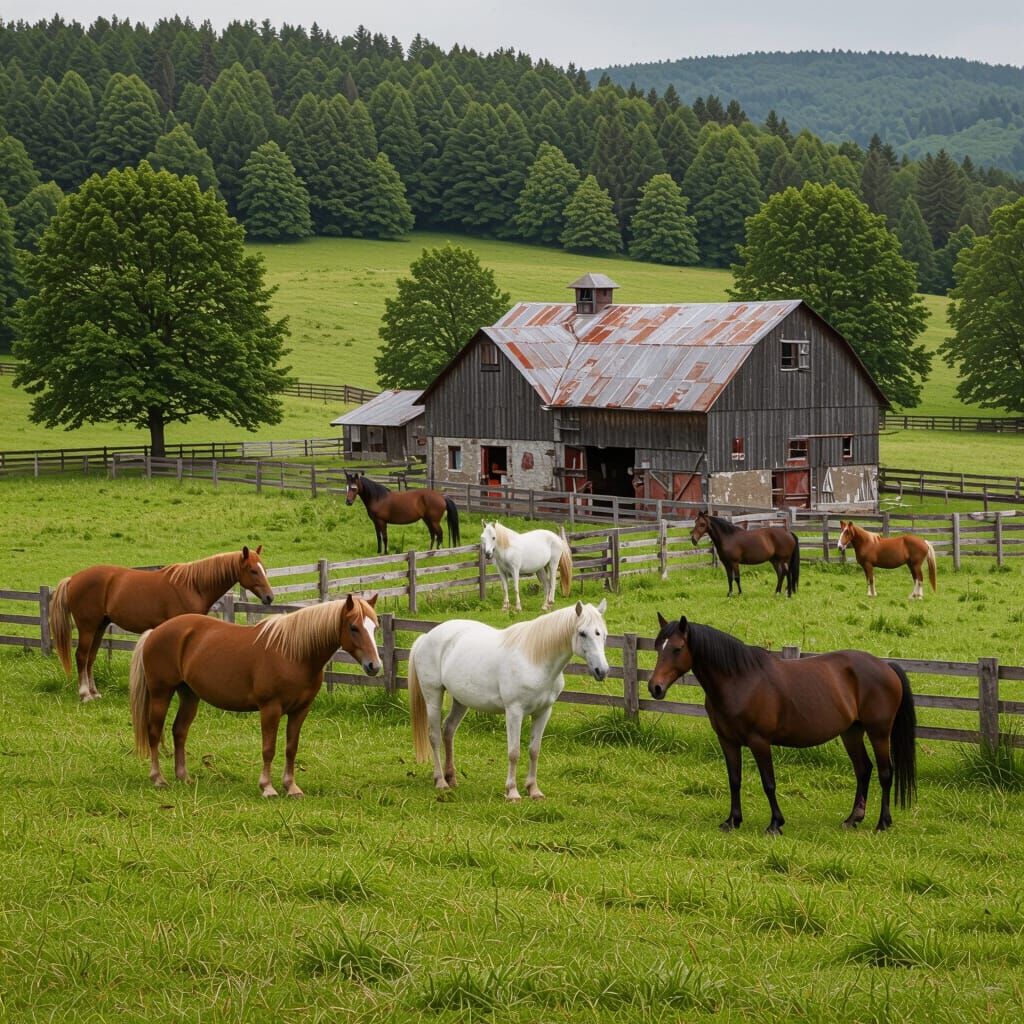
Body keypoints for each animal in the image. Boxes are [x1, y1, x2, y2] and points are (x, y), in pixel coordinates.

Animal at [50, 546, 274, 702]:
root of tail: (73, 579)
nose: (269, 597)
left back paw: (95, 693)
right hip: (88, 627)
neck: (193, 586)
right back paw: (85, 694)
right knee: (81, 656)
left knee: (90, 657)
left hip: (100, 626)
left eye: (264, 569)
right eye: (253, 570)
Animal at [129, 594, 381, 796]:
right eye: (354, 627)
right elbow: (268, 748)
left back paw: (184, 777)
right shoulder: (270, 709)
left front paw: (291, 787)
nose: (374, 666)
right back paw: (158, 779)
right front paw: (267, 788)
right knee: (154, 732)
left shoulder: (301, 710)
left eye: (375, 627)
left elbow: (291, 748)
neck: (294, 654)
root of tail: (155, 632)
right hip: (161, 693)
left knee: (179, 731)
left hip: (189, 695)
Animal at [407, 600, 609, 801]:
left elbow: (534, 750)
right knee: (434, 736)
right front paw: (512, 792)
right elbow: (514, 752)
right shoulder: (514, 712)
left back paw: (452, 778)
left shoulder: (543, 712)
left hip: (460, 700)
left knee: (448, 730)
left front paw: (534, 790)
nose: (602, 671)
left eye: (604, 634)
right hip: (433, 696)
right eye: (582, 633)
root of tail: (425, 637)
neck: (534, 660)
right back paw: (440, 781)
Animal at [649, 613, 916, 834]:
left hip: (879, 732)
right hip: (851, 732)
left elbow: (769, 782)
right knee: (863, 769)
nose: (655, 687)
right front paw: (732, 821)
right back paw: (853, 819)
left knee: (885, 772)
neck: (740, 681)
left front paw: (775, 823)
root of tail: (886, 666)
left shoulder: (759, 742)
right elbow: (734, 780)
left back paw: (883, 823)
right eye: (658, 647)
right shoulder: (727, 741)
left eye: (677, 648)